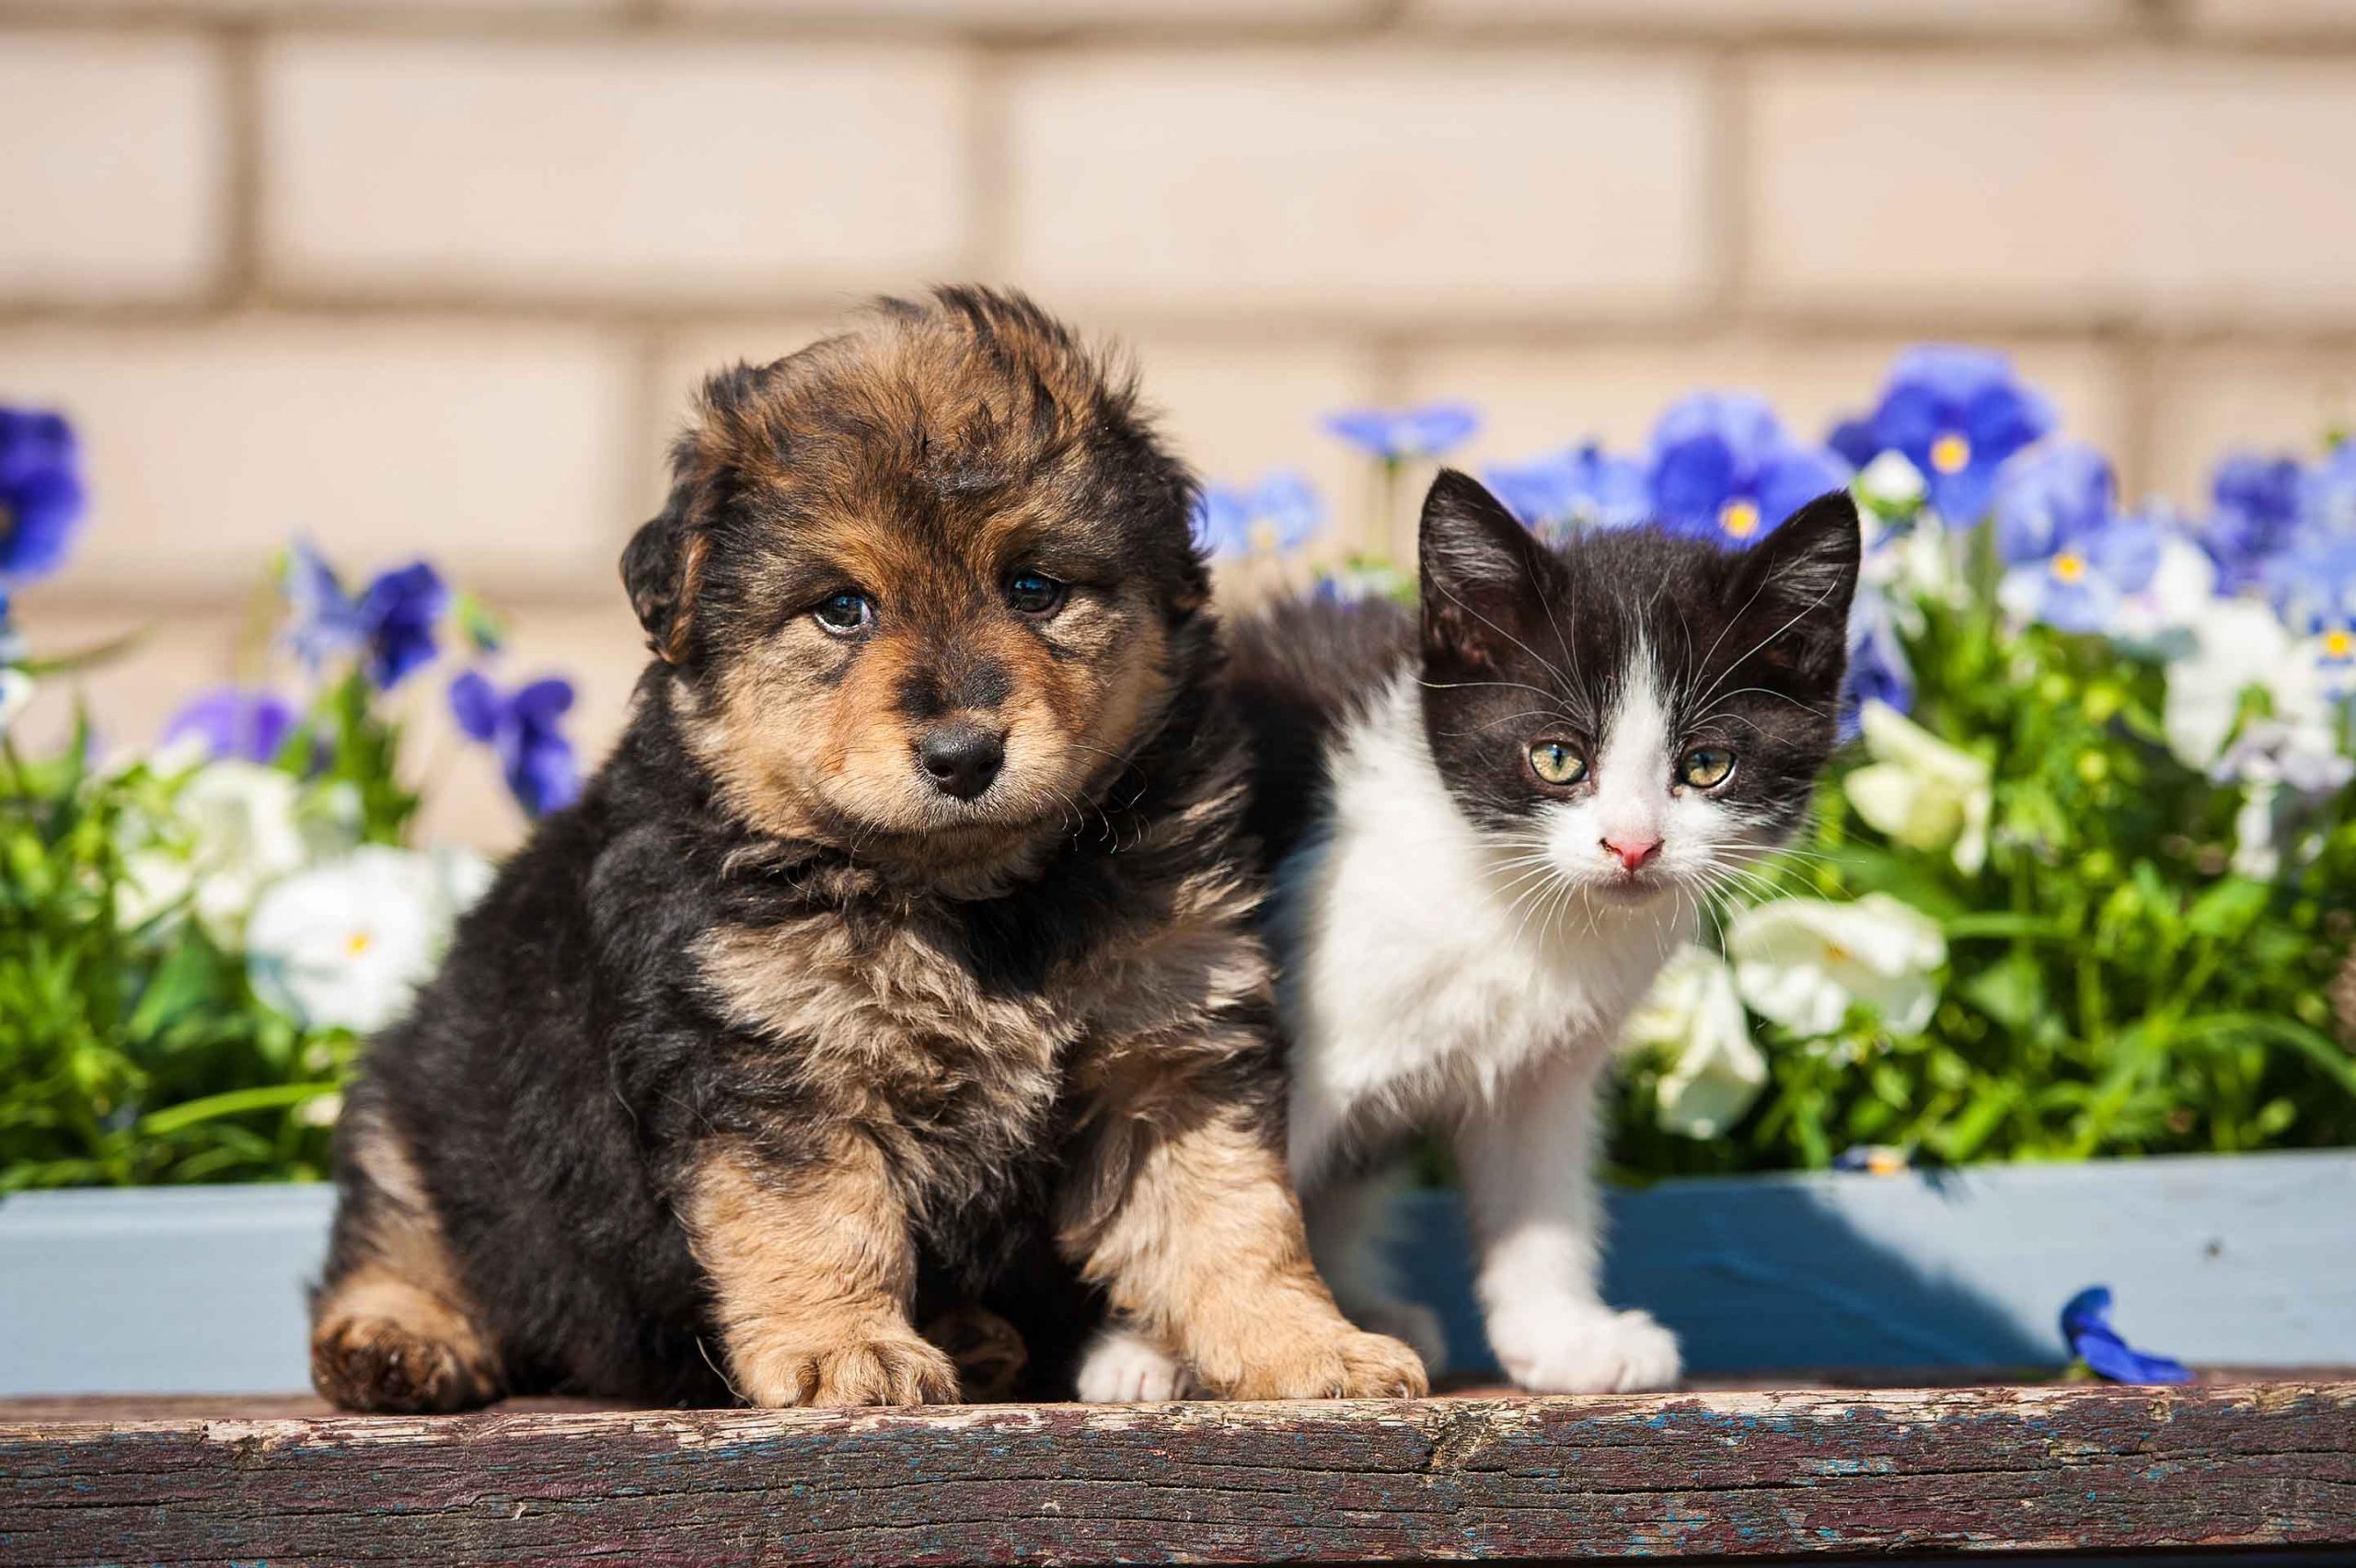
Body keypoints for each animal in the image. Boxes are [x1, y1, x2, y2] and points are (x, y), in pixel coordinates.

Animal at [304, 287, 1423, 1412]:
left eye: (1033, 587)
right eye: (843, 608)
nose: (963, 754)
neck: (979, 904)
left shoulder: (1170, 1047)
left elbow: (1232, 1219)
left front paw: (1311, 1346)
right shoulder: (773, 1062)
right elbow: (821, 1223)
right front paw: (847, 1350)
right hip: (423, 1095)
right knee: (406, 1233)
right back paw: (397, 1340)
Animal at [1074, 464, 1856, 1393]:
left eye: (1707, 766)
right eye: (1556, 758)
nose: (1633, 846)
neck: (1511, 904)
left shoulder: (1545, 1069)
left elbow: (1539, 1199)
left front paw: (1564, 1337)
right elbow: (1208, 1173)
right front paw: (1154, 1350)